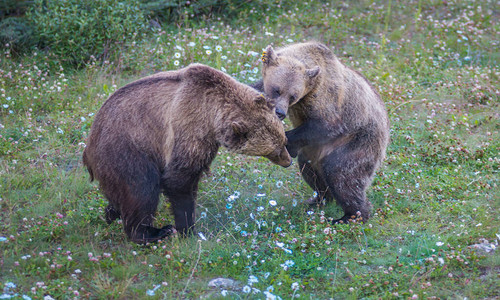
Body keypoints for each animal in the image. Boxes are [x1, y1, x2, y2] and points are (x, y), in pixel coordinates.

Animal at [83, 63, 292, 244]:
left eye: (284, 141)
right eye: (274, 150)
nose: (288, 161)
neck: (213, 113)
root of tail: (89, 144)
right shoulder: (189, 127)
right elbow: (179, 180)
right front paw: (188, 228)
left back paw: (112, 213)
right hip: (127, 149)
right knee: (141, 187)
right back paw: (153, 232)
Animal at [252, 42, 388, 224]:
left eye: (292, 96)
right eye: (277, 90)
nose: (280, 112)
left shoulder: (325, 98)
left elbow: (326, 125)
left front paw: (286, 140)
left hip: (359, 142)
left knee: (342, 174)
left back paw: (350, 216)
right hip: (315, 150)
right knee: (309, 168)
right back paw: (317, 200)